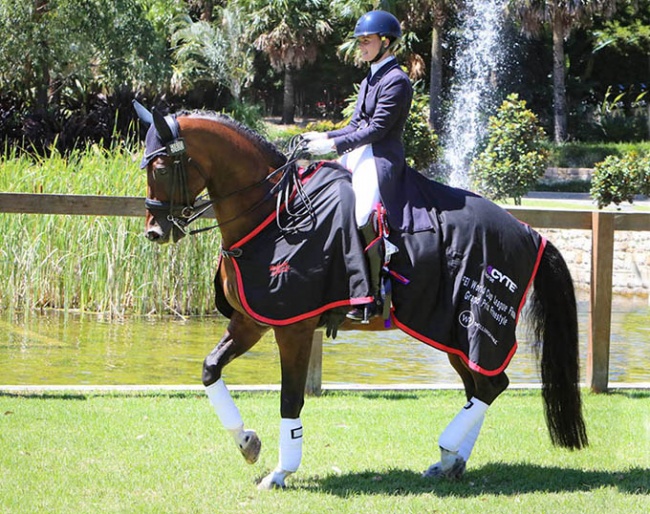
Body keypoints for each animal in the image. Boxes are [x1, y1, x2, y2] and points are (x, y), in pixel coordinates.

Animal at [134, 101, 584, 488]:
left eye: (160, 166)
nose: (155, 231)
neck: (275, 215)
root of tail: (530, 232)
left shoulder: (293, 328)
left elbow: (290, 400)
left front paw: (281, 472)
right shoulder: (253, 320)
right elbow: (210, 369)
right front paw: (248, 442)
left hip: (473, 327)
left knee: (490, 386)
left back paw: (447, 452)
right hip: (452, 335)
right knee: (482, 388)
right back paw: (451, 462)